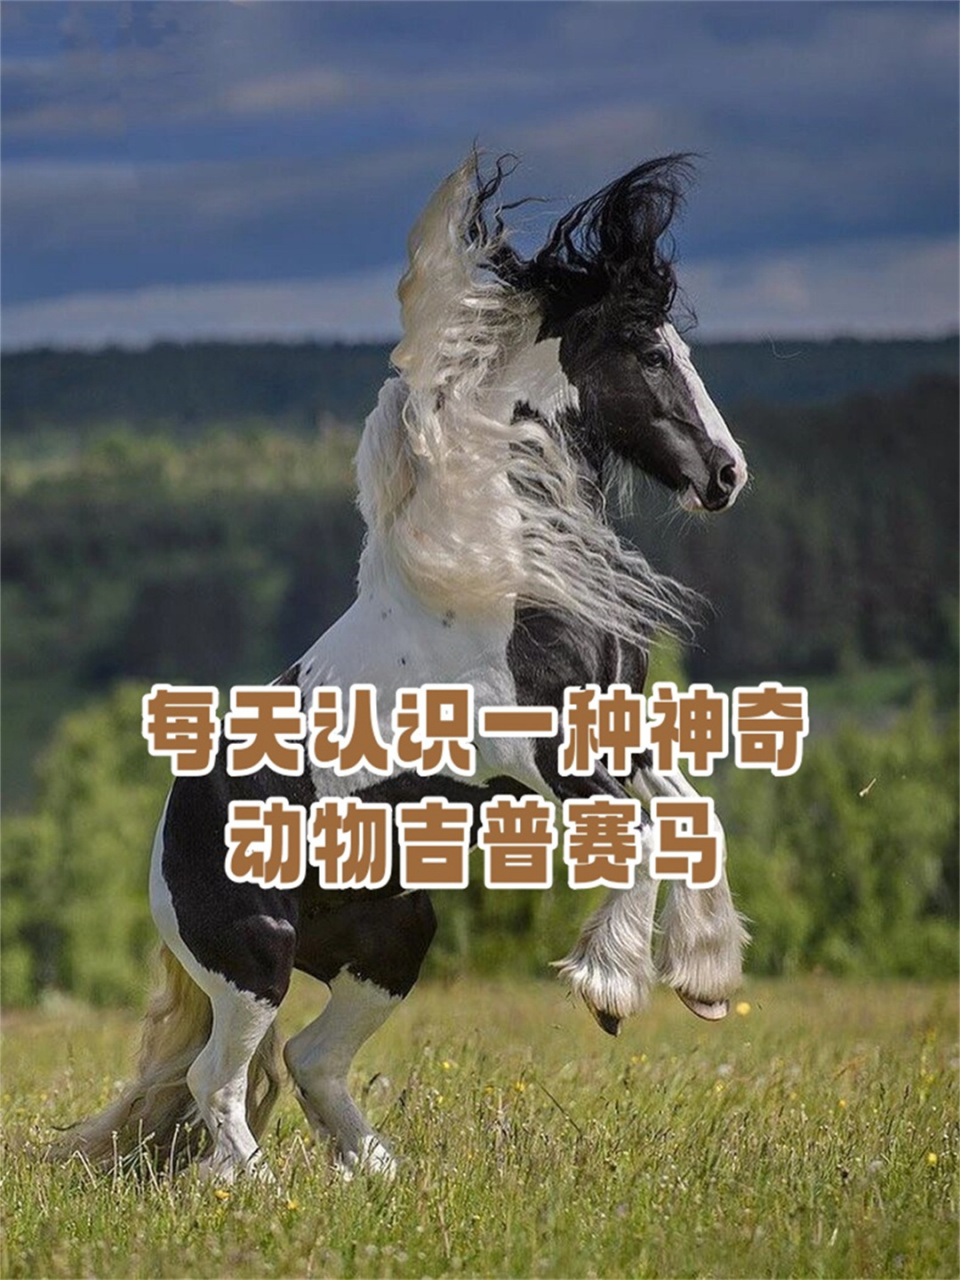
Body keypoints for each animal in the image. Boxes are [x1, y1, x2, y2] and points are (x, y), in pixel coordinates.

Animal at [58, 152, 749, 1183]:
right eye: (654, 354)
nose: (727, 474)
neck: (503, 569)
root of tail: (160, 857)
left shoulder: (613, 734)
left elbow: (689, 812)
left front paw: (703, 980)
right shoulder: (541, 757)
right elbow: (639, 832)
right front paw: (610, 987)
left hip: (391, 941)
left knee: (306, 1061)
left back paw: (380, 1174)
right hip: (256, 958)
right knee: (221, 1082)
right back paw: (258, 1192)